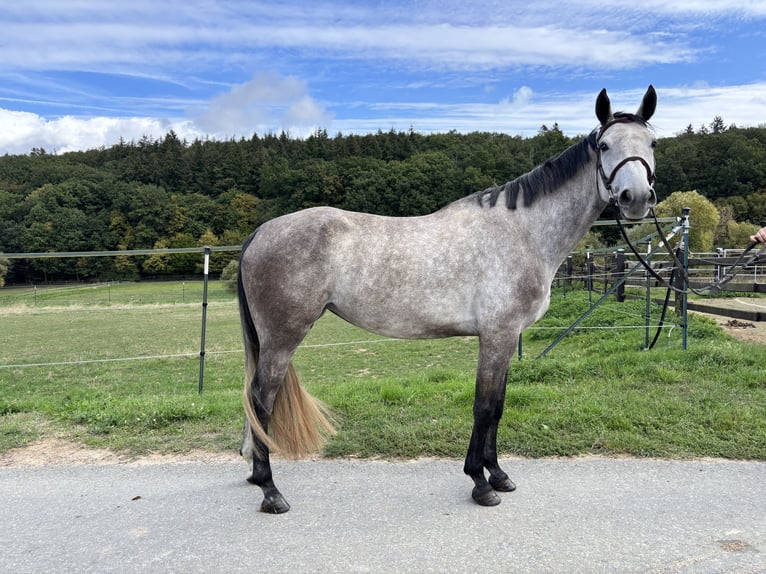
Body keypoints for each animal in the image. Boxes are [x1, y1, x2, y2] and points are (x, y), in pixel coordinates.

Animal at [238, 86, 658, 513]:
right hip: (282, 339)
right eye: (604, 146)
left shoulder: (506, 339)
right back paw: (270, 491)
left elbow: (498, 407)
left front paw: (499, 475)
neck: (523, 232)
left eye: (653, 143)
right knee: (259, 401)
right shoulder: (497, 336)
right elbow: (483, 407)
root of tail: (262, 232)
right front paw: (480, 482)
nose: (636, 198)